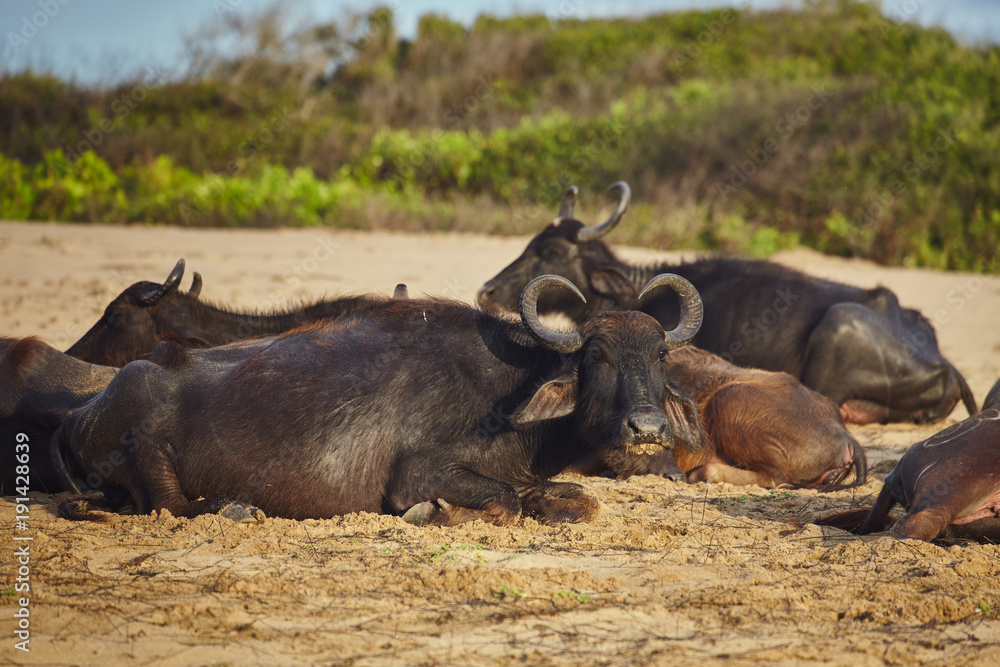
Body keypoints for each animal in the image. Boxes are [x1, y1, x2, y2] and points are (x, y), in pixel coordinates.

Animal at [52, 274, 704, 524]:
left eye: (660, 357)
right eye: (597, 358)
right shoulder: (418, 472)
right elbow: (502, 502)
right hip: (149, 449)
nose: (647, 429)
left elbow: (573, 501)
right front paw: (438, 513)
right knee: (170, 505)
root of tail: (80, 412)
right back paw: (231, 507)